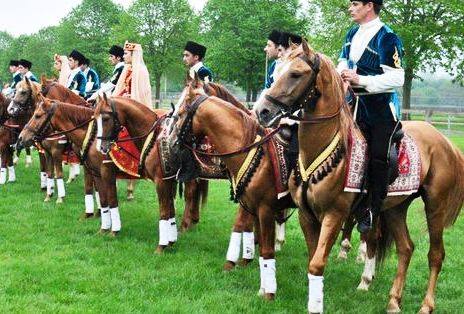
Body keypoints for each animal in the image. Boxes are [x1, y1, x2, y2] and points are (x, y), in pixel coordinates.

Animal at [254, 40, 464, 312]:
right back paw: (394, 300)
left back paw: (426, 305)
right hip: (395, 208)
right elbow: (313, 259)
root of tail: (446, 143)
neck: (323, 150)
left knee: (435, 255)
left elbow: (317, 263)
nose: (262, 110)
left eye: (296, 74)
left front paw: (316, 305)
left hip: (435, 207)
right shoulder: (306, 216)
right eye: (276, 71)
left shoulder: (335, 214)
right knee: (406, 248)